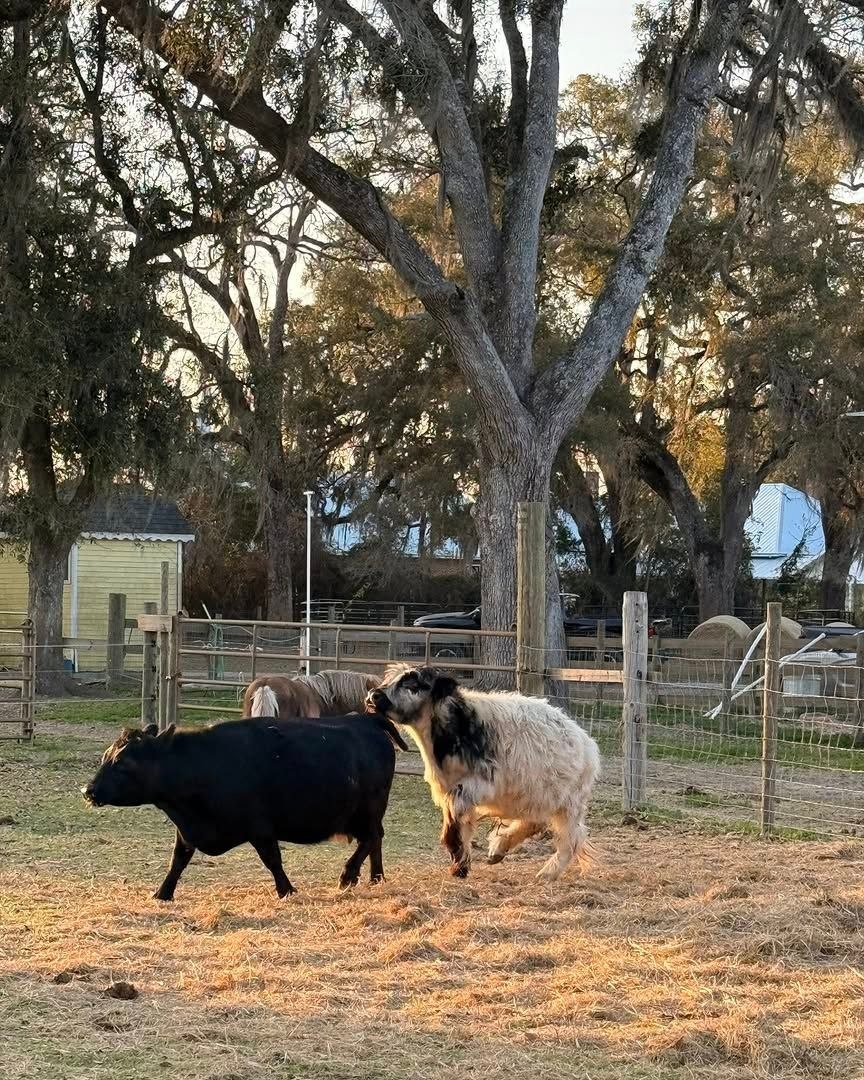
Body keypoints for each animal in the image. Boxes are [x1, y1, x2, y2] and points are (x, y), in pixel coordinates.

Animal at [82, 714, 408, 900]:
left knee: (371, 838)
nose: (88, 791)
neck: (199, 764)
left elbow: (273, 859)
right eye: (106, 755)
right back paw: (376, 877)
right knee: (375, 840)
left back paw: (349, 875)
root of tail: (365, 720)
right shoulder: (187, 831)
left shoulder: (260, 828)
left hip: (368, 809)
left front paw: (286, 890)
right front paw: (163, 893)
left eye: (123, 762)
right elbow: (178, 861)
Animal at [367, 666, 600, 881]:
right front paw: (460, 864)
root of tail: (586, 742)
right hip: (535, 796)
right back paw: (498, 849)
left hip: (568, 804)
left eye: (413, 684)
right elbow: (458, 824)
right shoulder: (448, 788)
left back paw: (546, 873)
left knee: (571, 839)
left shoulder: (472, 786)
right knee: (536, 821)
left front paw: (459, 865)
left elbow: (454, 825)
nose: (373, 695)